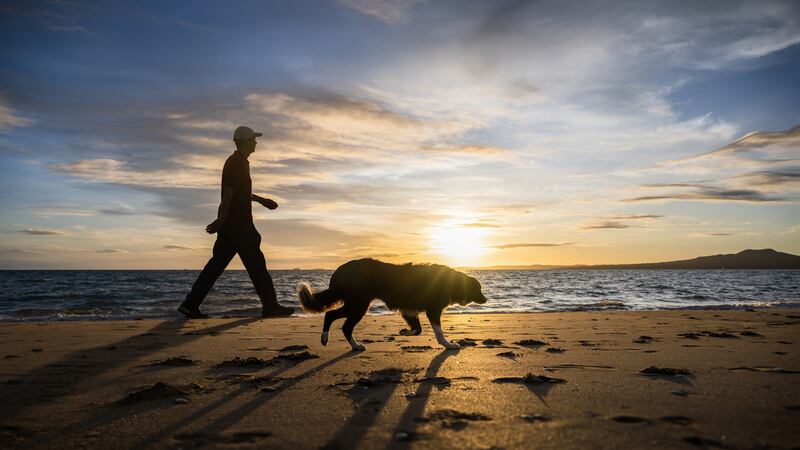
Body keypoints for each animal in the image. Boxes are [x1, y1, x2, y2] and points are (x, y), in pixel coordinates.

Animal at [296, 256, 488, 352]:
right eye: (478, 289)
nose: (485, 299)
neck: (452, 281)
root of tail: (340, 270)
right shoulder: (432, 310)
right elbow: (438, 333)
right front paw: (449, 345)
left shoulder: (409, 311)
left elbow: (417, 330)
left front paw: (404, 332)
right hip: (358, 304)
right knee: (334, 317)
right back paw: (326, 338)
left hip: (357, 304)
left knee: (344, 326)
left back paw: (355, 346)